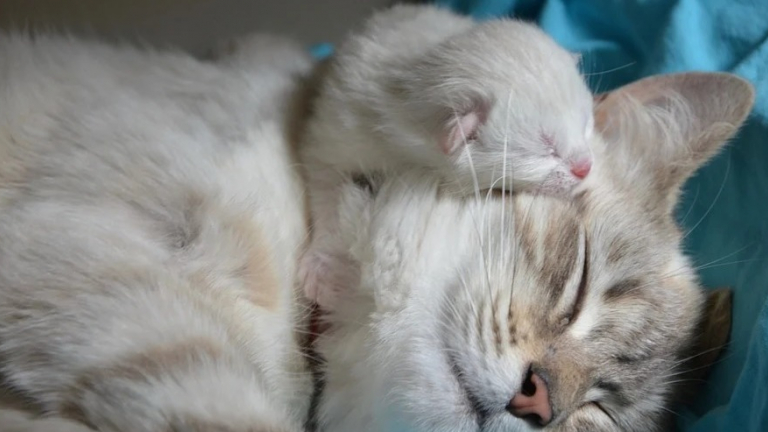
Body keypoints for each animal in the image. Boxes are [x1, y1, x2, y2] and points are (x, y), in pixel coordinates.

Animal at [298, 3, 592, 308]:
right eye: (548, 149)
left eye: (586, 126)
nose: (586, 167)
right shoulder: (338, 129)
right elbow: (327, 191)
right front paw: (325, 267)